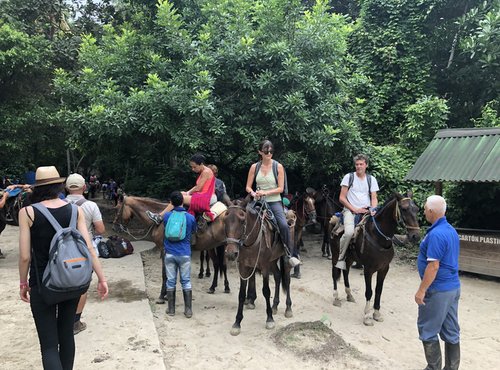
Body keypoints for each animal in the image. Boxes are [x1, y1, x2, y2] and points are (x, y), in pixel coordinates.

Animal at [224, 199, 292, 336]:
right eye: (225, 220)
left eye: (242, 220)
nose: (230, 253)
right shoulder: (244, 267)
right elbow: (241, 294)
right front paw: (237, 323)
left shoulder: (264, 266)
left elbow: (266, 291)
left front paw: (269, 319)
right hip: (273, 260)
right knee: (277, 276)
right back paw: (275, 306)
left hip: (284, 257)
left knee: (287, 279)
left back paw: (288, 308)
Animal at [330, 192, 420, 326]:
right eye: (404, 209)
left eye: (417, 209)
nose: (416, 236)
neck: (378, 237)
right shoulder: (368, 269)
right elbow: (369, 291)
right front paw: (367, 316)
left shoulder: (384, 268)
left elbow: (378, 290)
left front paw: (376, 313)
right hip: (336, 255)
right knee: (334, 273)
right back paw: (336, 297)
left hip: (350, 257)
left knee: (346, 272)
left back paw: (349, 294)